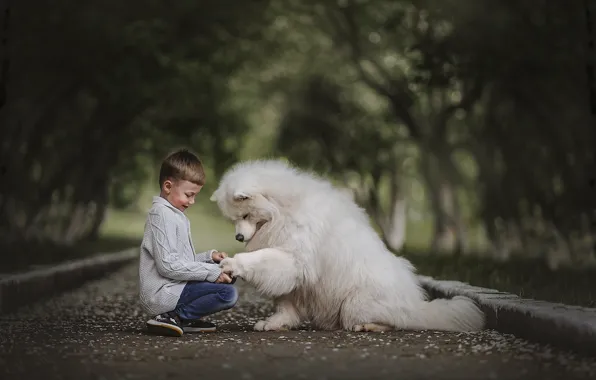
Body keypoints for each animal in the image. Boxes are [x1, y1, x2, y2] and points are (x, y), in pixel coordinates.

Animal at [210, 159, 484, 332]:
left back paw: (369, 326)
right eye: (234, 220)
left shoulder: (293, 260)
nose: (239, 238)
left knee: (397, 322)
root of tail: (415, 303)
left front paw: (233, 263)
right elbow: (285, 303)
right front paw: (276, 323)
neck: (283, 211)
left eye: (245, 215)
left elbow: (260, 260)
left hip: (355, 305)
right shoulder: (293, 276)